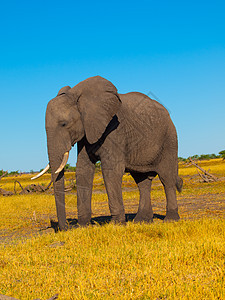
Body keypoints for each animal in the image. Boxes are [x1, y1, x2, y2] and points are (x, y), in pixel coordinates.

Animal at [32, 75, 183, 230]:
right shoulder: (87, 131)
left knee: (166, 178)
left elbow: (111, 170)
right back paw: (142, 221)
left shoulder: (114, 129)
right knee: (142, 182)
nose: (66, 227)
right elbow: (83, 169)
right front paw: (84, 226)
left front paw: (116, 225)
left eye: (63, 124)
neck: (78, 95)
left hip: (169, 139)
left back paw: (170, 220)